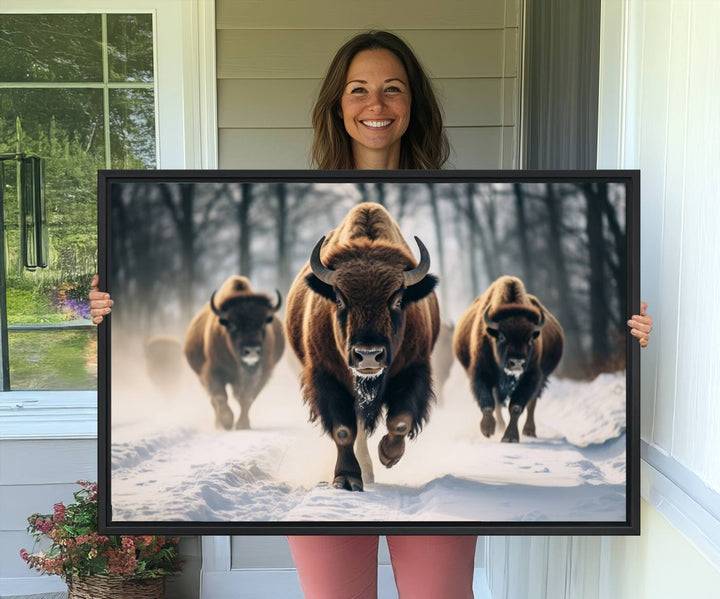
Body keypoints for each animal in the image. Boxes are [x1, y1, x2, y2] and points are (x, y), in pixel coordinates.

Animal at [184, 276, 286, 432]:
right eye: (232, 325)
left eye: (263, 324)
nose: (251, 350)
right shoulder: (212, 371)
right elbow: (220, 396)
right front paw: (227, 422)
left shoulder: (262, 374)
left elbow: (247, 398)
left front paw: (243, 425)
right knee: (214, 400)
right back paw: (218, 424)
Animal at [286, 202, 438, 492]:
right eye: (339, 299)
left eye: (398, 299)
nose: (368, 355)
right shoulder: (326, 376)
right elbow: (344, 431)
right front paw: (347, 478)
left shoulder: (414, 369)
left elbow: (400, 421)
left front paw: (388, 455)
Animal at [452, 278, 564, 442]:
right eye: (502, 336)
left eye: (530, 339)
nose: (517, 363)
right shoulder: (481, 373)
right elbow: (488, 403)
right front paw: (488, 429)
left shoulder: (531, 376)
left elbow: (516, 407)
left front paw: (510, 437)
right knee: (499, 403)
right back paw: (499, 426)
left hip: (541, 379)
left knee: (532, 403)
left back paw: (529, 431)